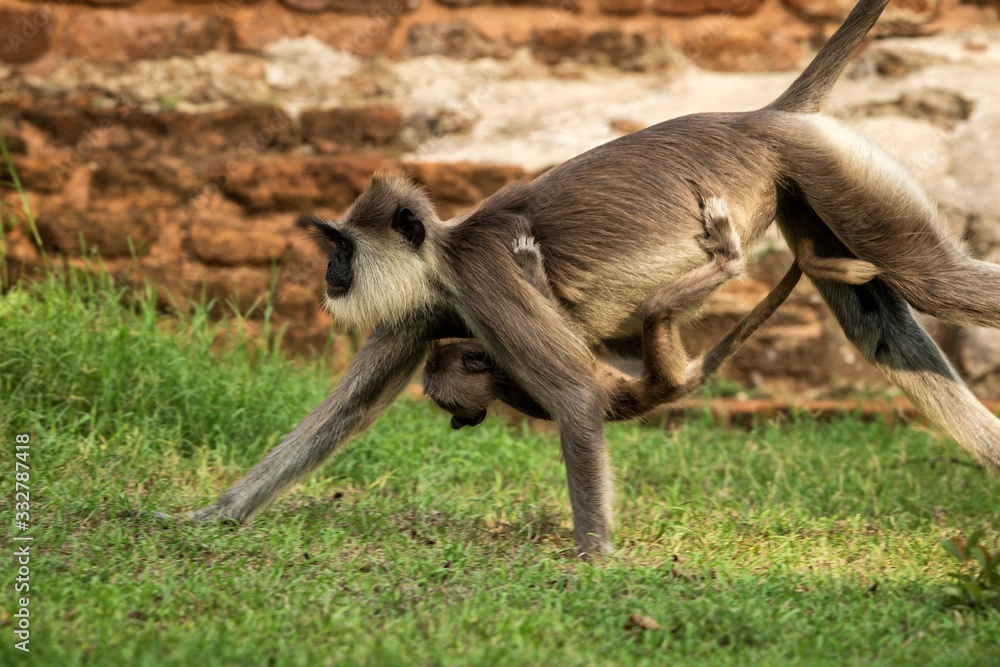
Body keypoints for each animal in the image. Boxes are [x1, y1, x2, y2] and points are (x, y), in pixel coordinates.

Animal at [174, 0, 1000, 559]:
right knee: (879, 324)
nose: (330, 273)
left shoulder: (482, 280)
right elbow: (341, 413)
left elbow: (572, 388)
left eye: (343, 249)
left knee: (935, 281)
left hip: (824, 164)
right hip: (807, 188)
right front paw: (209, 517)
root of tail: (760, 117)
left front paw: (594, 558)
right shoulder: (426, 309)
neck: (444, 257)